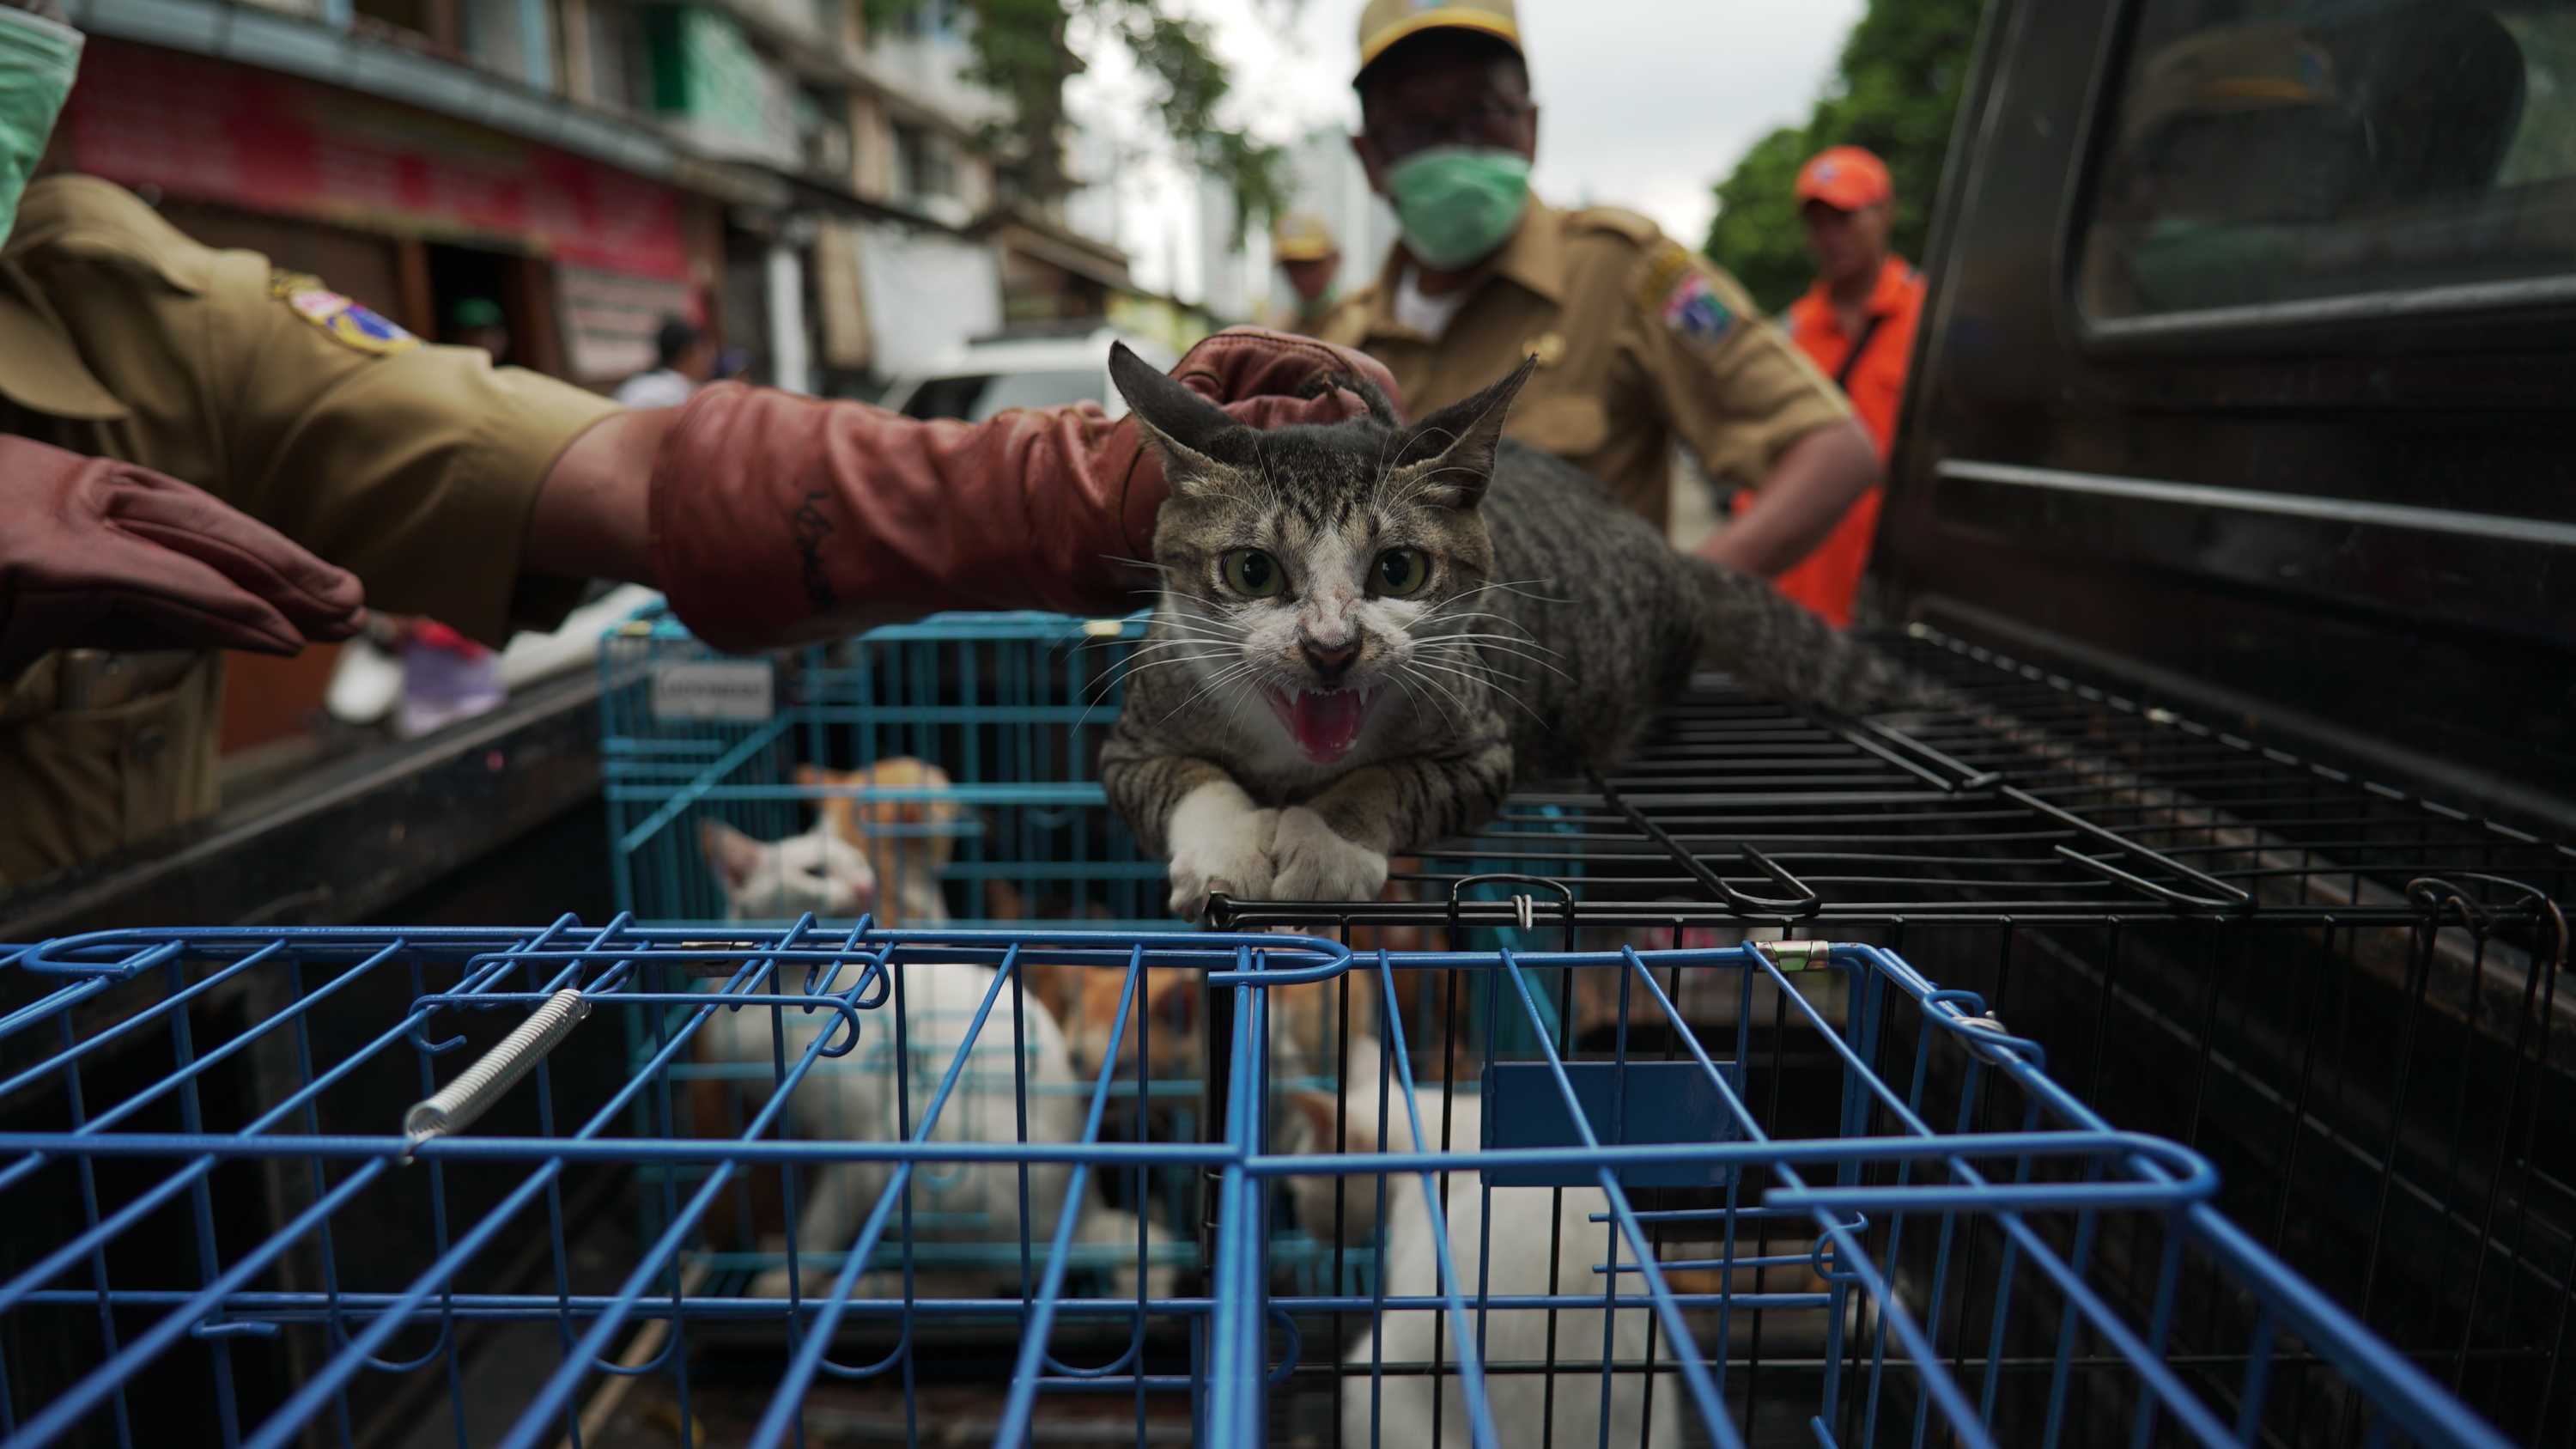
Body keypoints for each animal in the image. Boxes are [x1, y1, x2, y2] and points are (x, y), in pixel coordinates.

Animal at [1097, 340, 1927, 912]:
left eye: (1399, 569)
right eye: (1253, 570)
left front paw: (1328, 842)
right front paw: (1226, 852)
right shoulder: (1134, 734)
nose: (1331, 647)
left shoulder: (1484, 743)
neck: (1295, 759)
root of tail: (1669, 551)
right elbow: (1180, 776)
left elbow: (1394, 780)